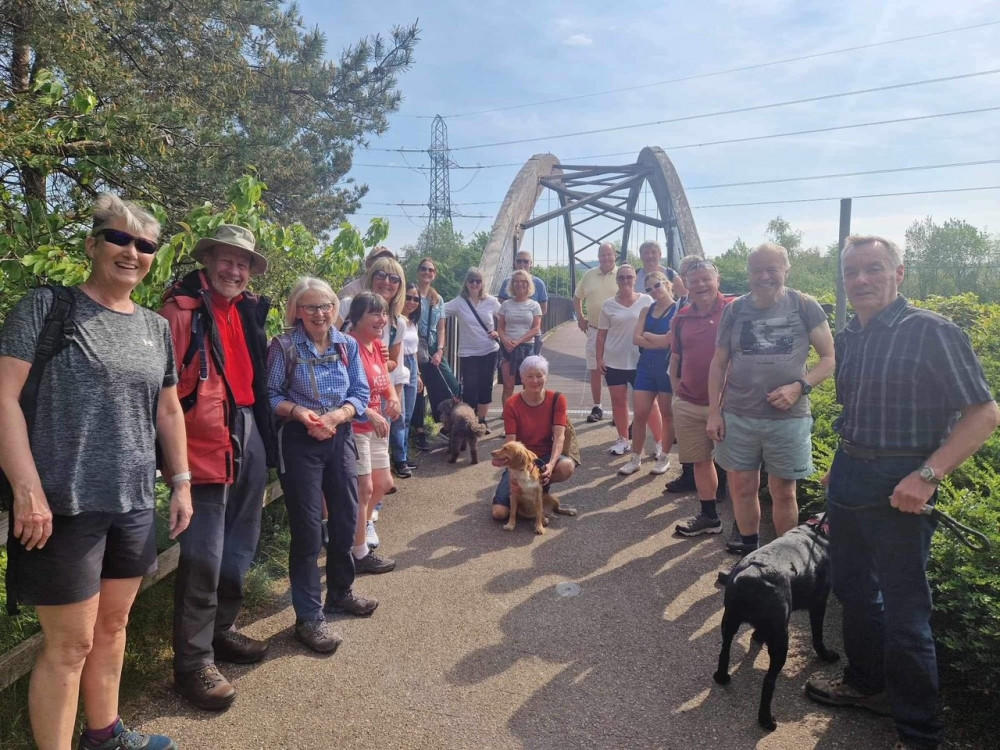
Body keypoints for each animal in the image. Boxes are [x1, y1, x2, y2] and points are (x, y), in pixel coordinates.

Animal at [716, 516, 840, 732]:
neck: (819, 530)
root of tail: (750, 576)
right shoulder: (818, 604)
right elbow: (818, 636)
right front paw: (826, 655)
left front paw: (757, 637)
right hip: (781, 639)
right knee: (769, 682)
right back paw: (766, 720)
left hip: (729, 621)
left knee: (725, 650)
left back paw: (721, 677)